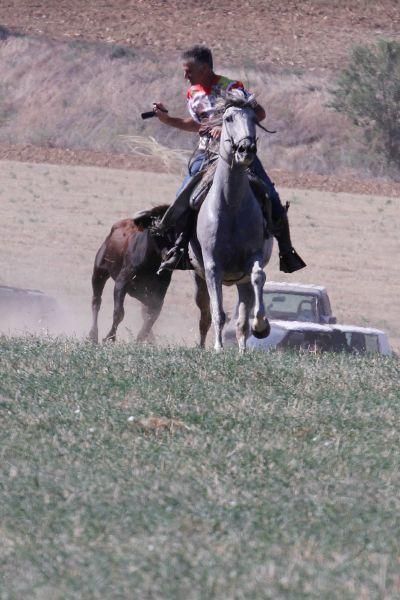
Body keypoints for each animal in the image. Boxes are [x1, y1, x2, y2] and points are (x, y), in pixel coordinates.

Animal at [88, 206, 171, 344]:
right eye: (155, 231)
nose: (169, 254)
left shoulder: (159, 293)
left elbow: (151, 314)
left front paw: (141, 339)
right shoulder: (121, 283)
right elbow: (119, 313)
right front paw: (109, 338)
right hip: (99, 272)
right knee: (96, 301)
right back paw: (93, 335)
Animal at [189, 93, 274, 352]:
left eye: (254, 119)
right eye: (228, 118)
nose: (246, 149)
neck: (231, 206)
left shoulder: (253, 258)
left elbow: (258, 277)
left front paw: (261, 325)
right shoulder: (212, 266)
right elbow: (218, 312)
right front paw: (218, 347)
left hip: (240, 282)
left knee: (241, 318)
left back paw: (243, 348)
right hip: (199, 279)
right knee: (206, 312)